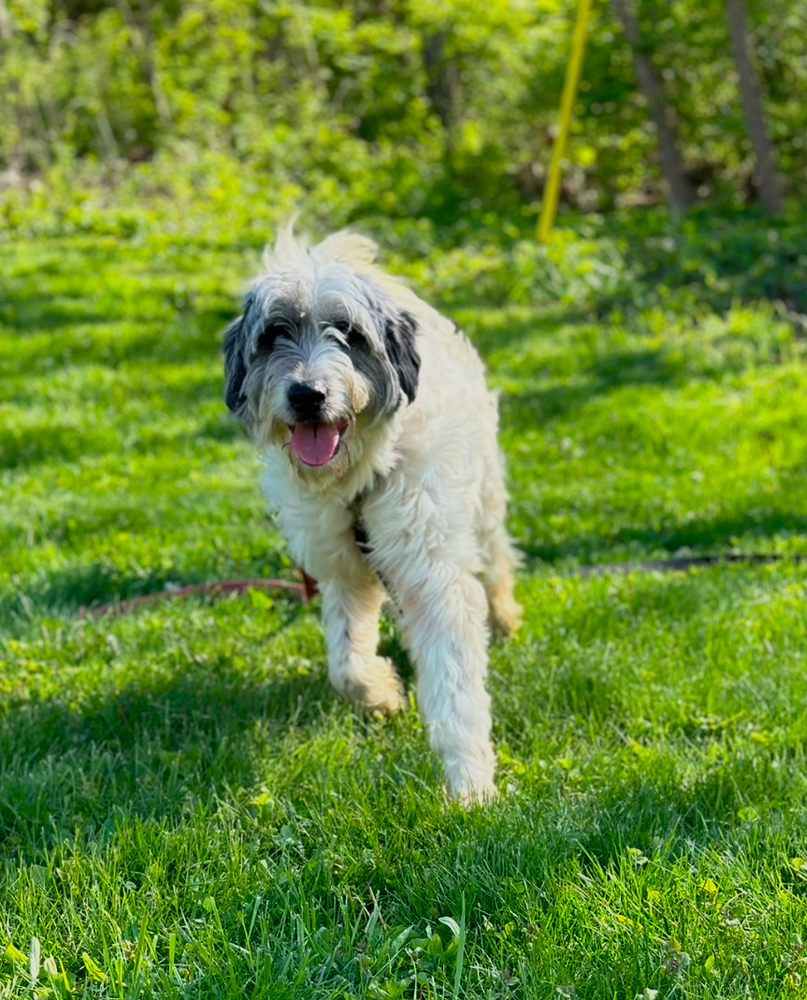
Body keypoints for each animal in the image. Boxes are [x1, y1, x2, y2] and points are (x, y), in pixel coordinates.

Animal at [224, 227, 520, 804]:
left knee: (497, 559)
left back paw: (504, 613)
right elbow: (346, 664)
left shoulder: (434, 576)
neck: (361, 480)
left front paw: (469, 784)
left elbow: (456, 688)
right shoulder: (342, 570)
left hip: (484, 500)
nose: (307, 394)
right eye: (274, 335)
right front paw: (381, 693)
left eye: (348, 333)